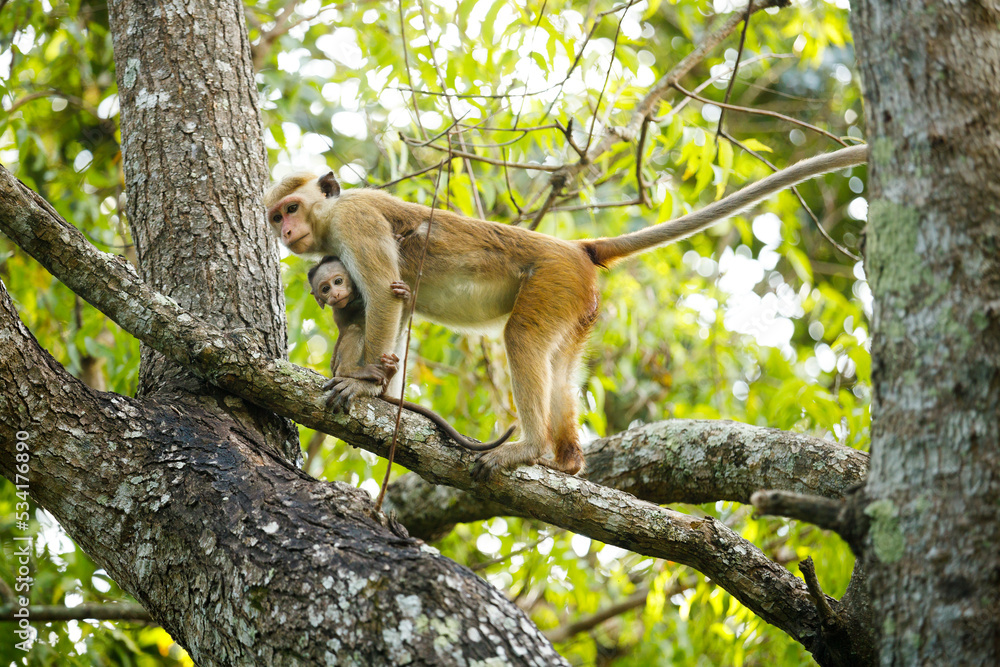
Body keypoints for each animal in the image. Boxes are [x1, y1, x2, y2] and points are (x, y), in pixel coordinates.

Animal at [307, 255, 516, 451]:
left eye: (338, 281)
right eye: (325, 289)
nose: (335, 294)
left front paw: (406, 295)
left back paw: (389, 372)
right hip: (337, 366)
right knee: (354, 331)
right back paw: (353, 372)